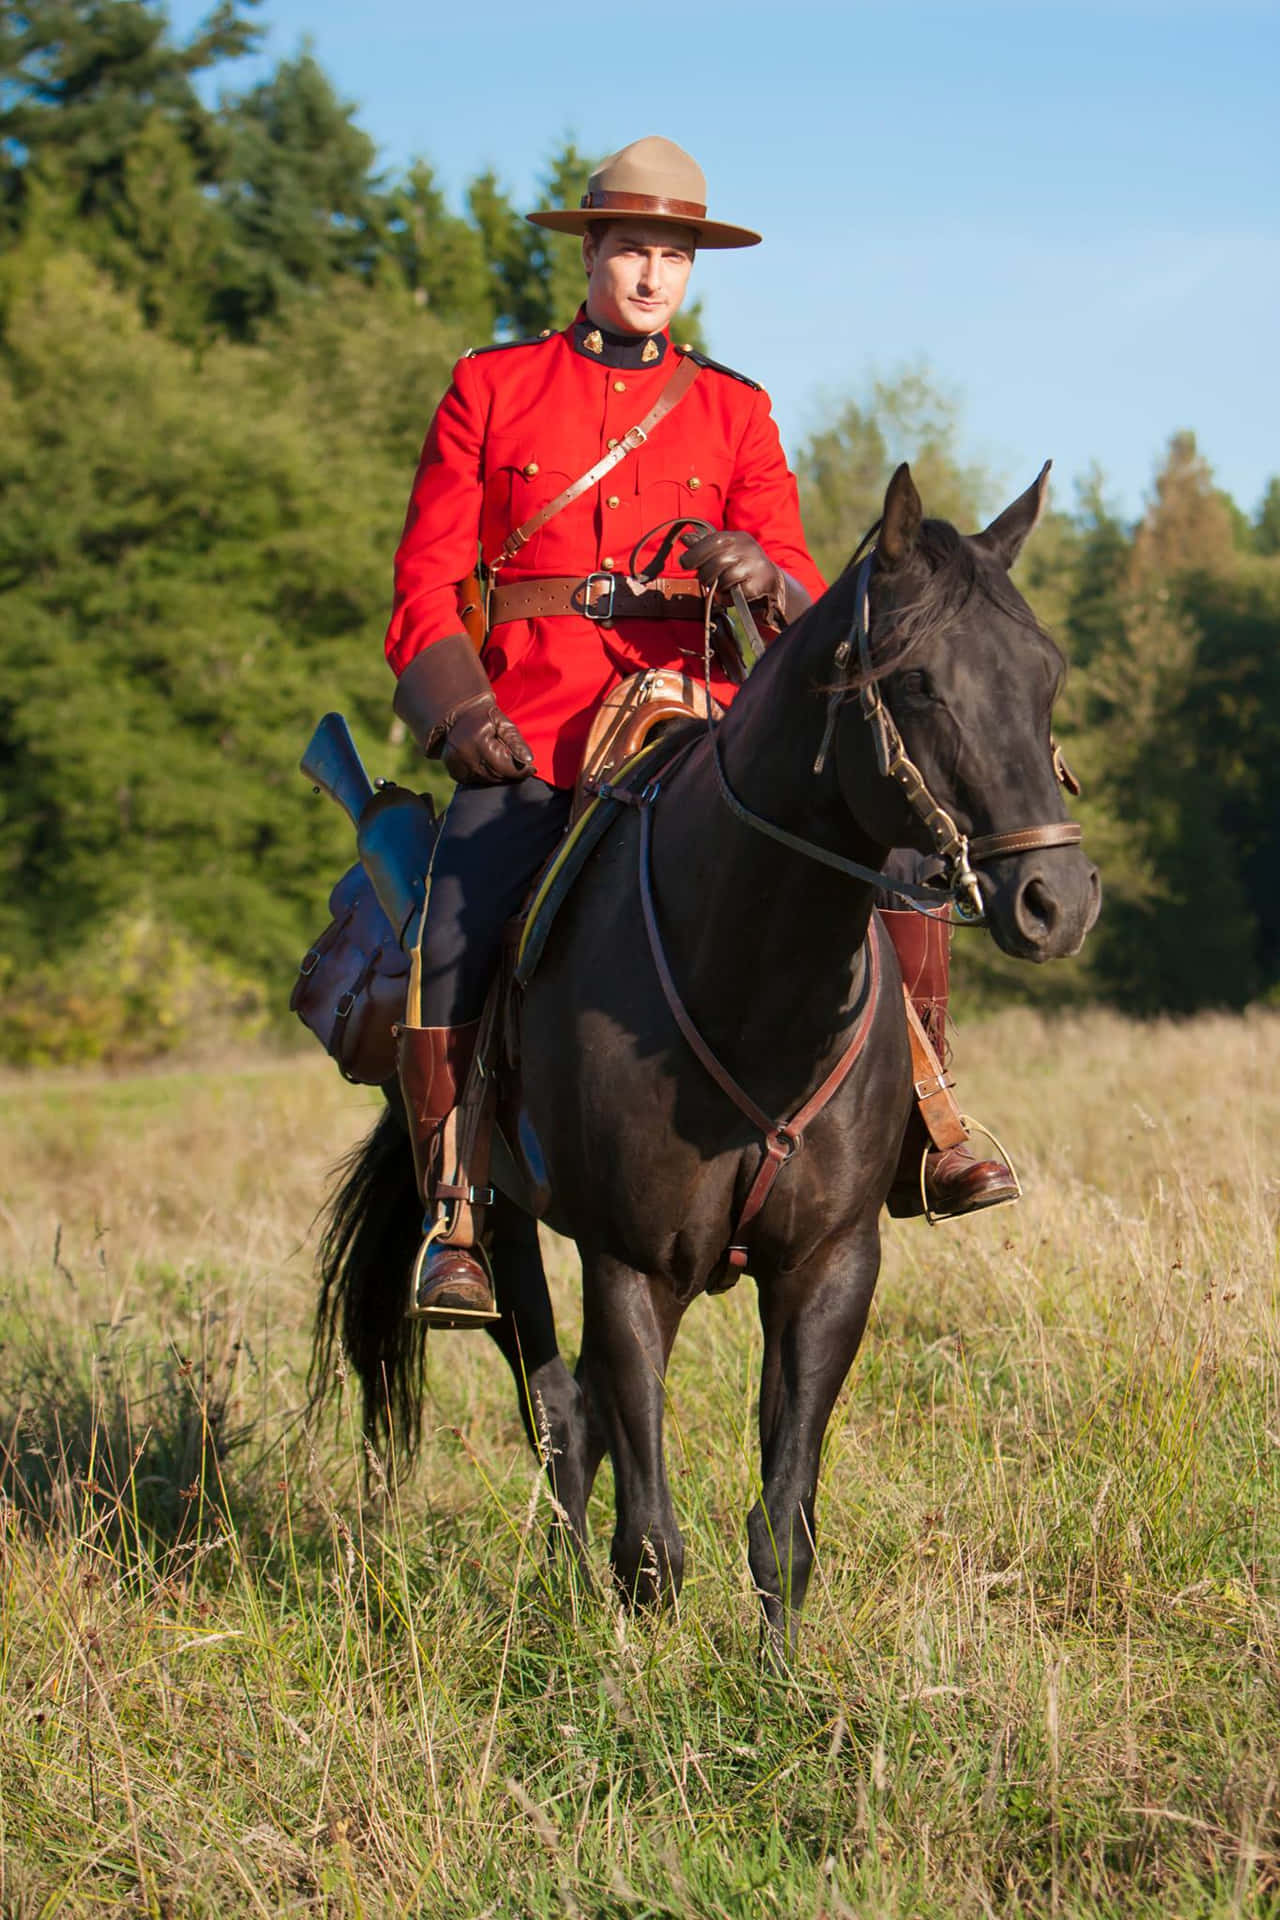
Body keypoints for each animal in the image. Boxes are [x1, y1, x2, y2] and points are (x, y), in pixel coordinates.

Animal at [312, 460, 1105, 1651]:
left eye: (1045, 673)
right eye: (916, 682)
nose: (1056, 900)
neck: (752, 988)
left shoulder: (828, 1267)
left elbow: (783, 1520)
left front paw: (778, 1681)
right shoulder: (631, 1265)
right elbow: (649, 1537)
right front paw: (629, 1670)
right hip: (503, 1220)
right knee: (557, 1404)